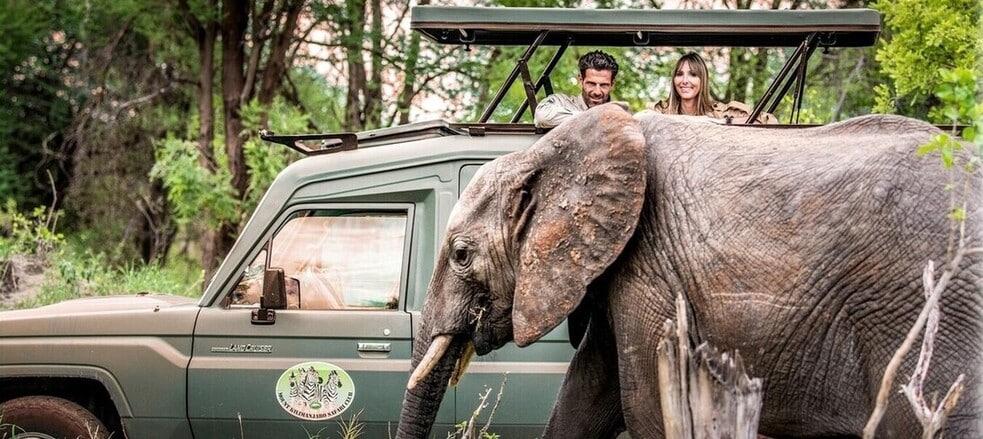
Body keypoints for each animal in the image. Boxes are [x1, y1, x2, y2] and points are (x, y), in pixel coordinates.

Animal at [396, 104, 980, 439]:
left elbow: (643, 408)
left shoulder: (651, 271)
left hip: (934, 306)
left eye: (461, 255)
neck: (548, 152)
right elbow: (584, 397)